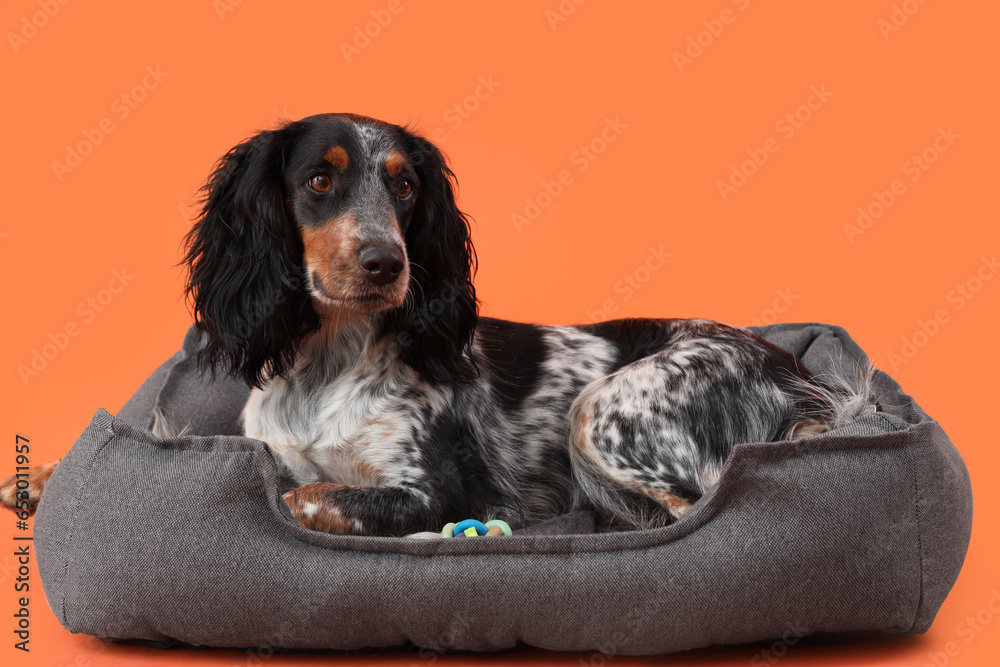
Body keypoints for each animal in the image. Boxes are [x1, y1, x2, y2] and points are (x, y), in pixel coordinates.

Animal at [1, 112, 876, 536]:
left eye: (406, 187)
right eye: (319, 180)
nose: (386, 262)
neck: (329, 362)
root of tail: (802, 376)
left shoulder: (433, 489)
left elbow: (304, 495)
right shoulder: (269, 441)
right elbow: (230, 452)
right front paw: (40, 474)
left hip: (603, 411)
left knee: (692, 508)